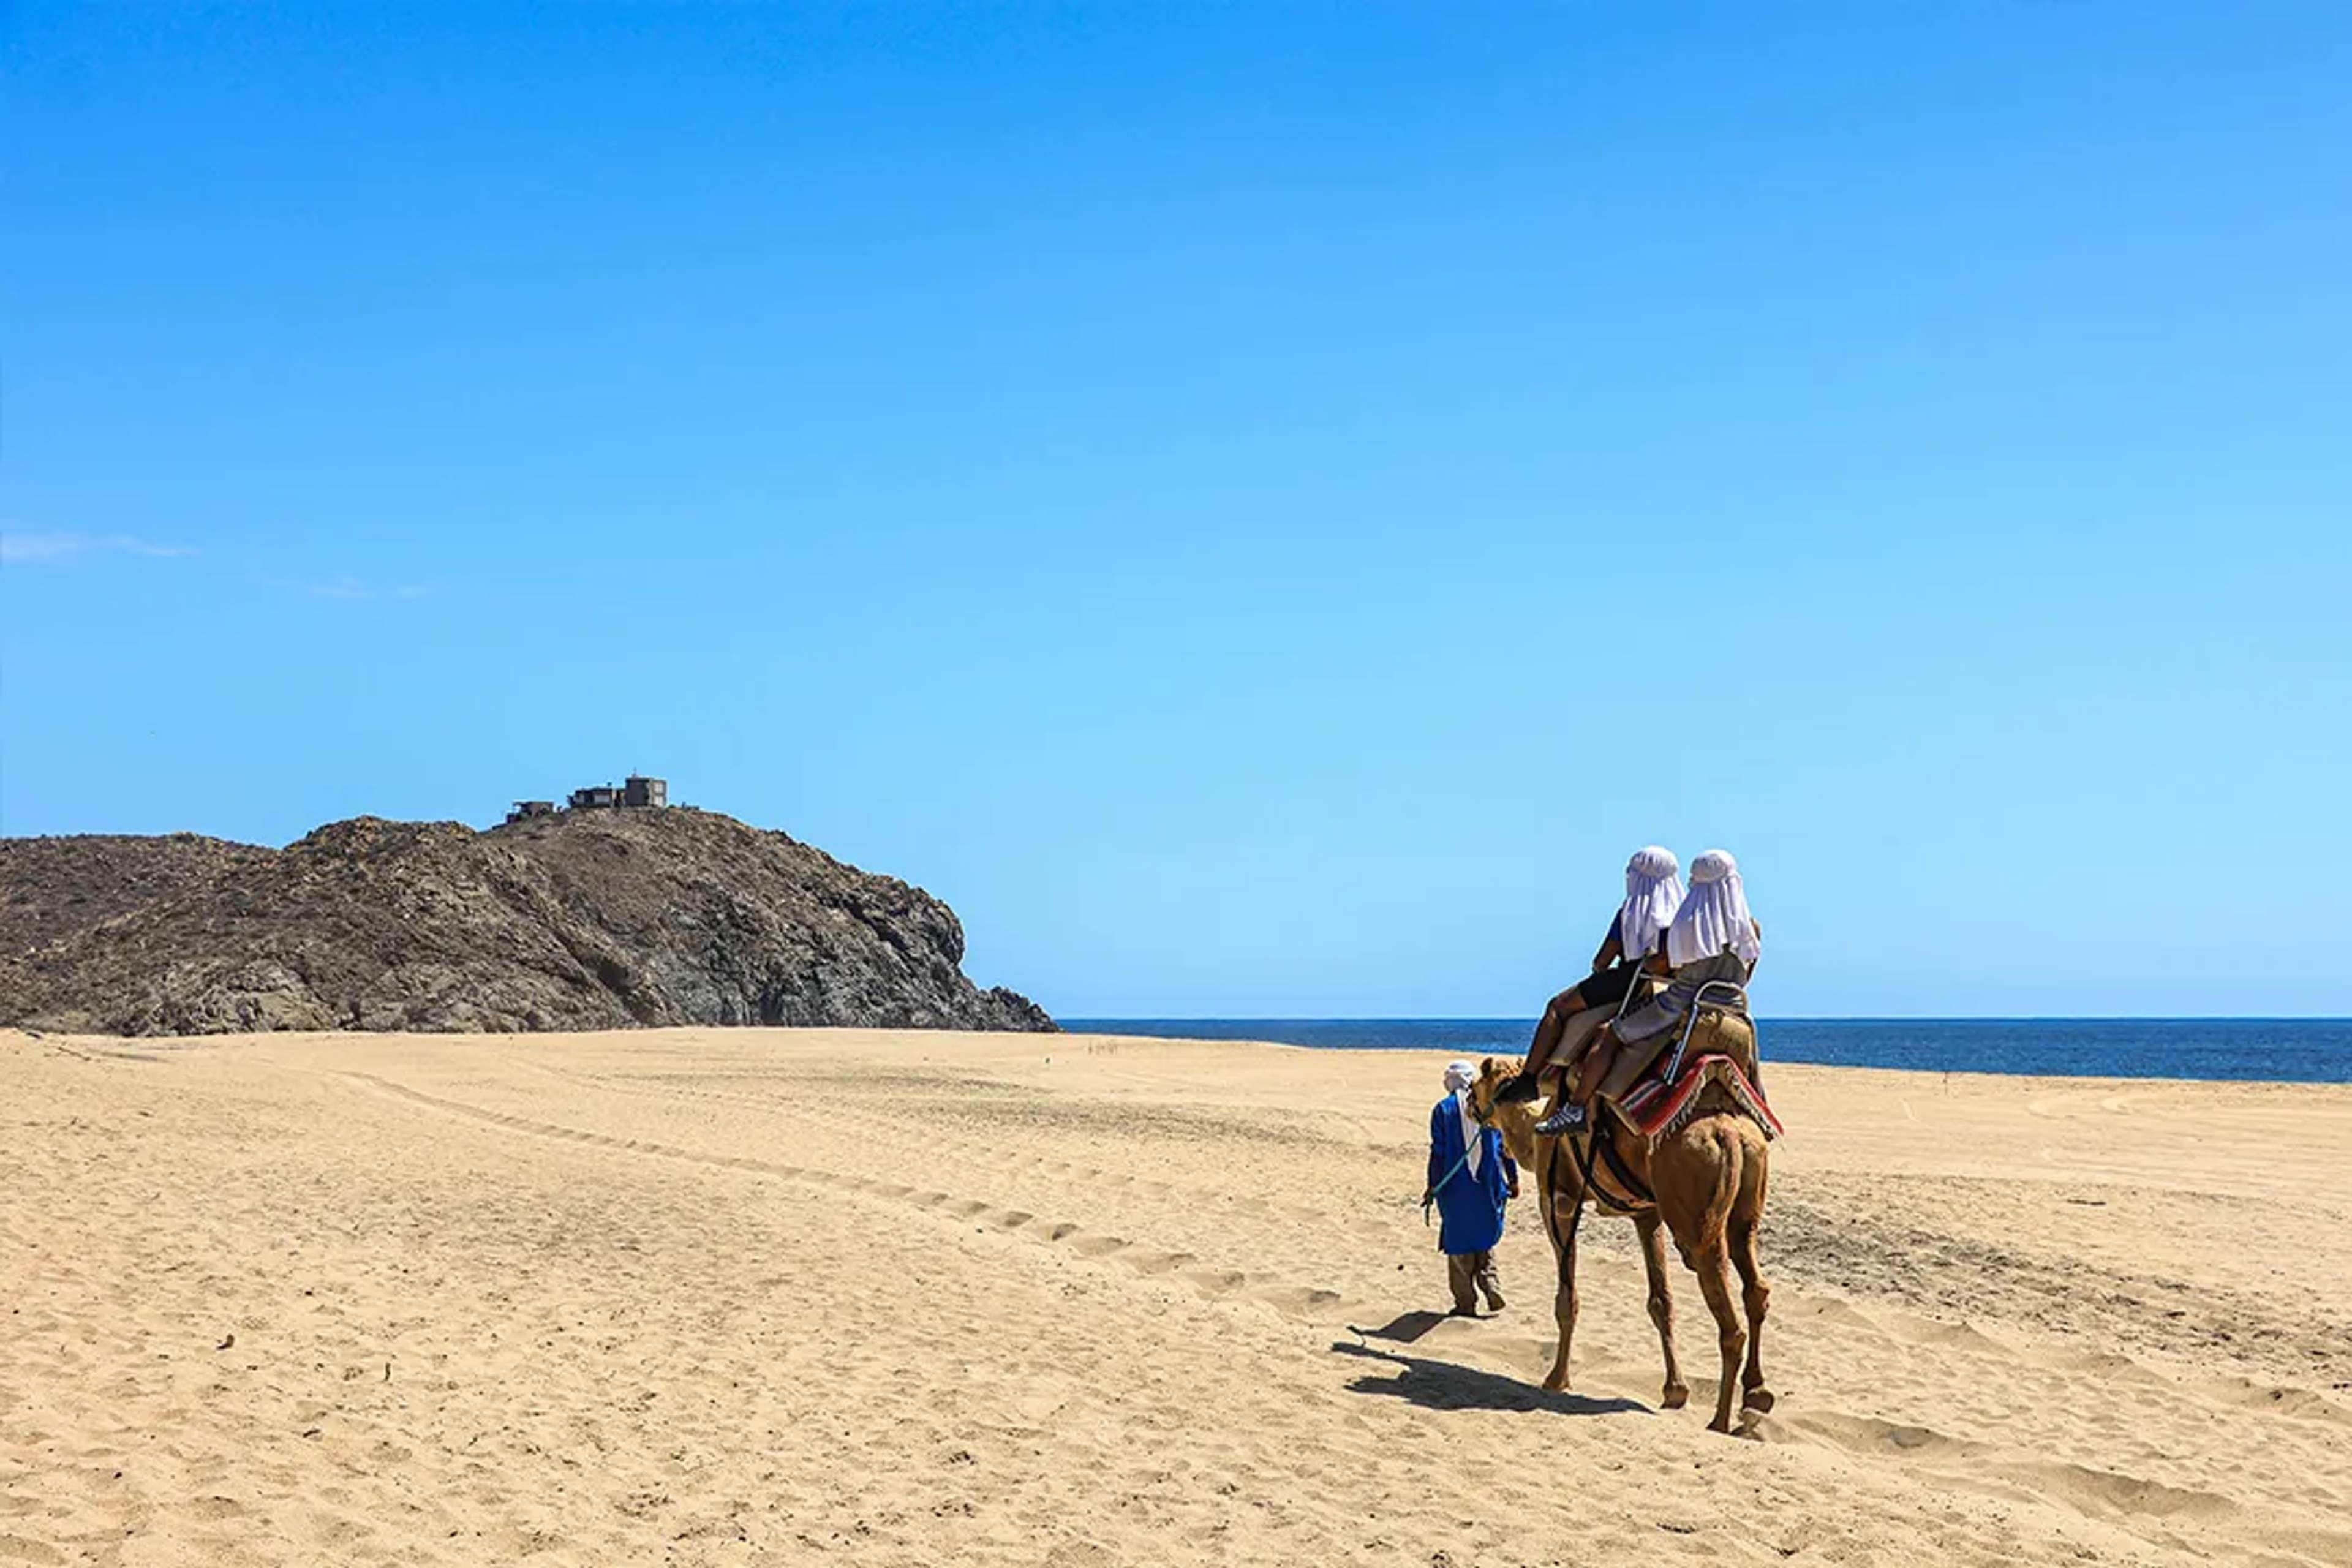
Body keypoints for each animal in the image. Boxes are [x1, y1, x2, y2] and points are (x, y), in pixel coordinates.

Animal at [1468, 1007, 1774, 1435]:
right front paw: (1675, 1392)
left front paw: (1556, 1380)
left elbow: (1567, 1298)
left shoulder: (1558, 1202)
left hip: (1695, 1216)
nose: (1467, 1103)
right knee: (1756, 1287)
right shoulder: (1646, 1214)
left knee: (1725, 1306)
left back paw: (1720, 1419)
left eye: (1476, 1085)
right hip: (1746, 1202)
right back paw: (1757, 1395)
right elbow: (1662, 1301)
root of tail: (1726, 1132)